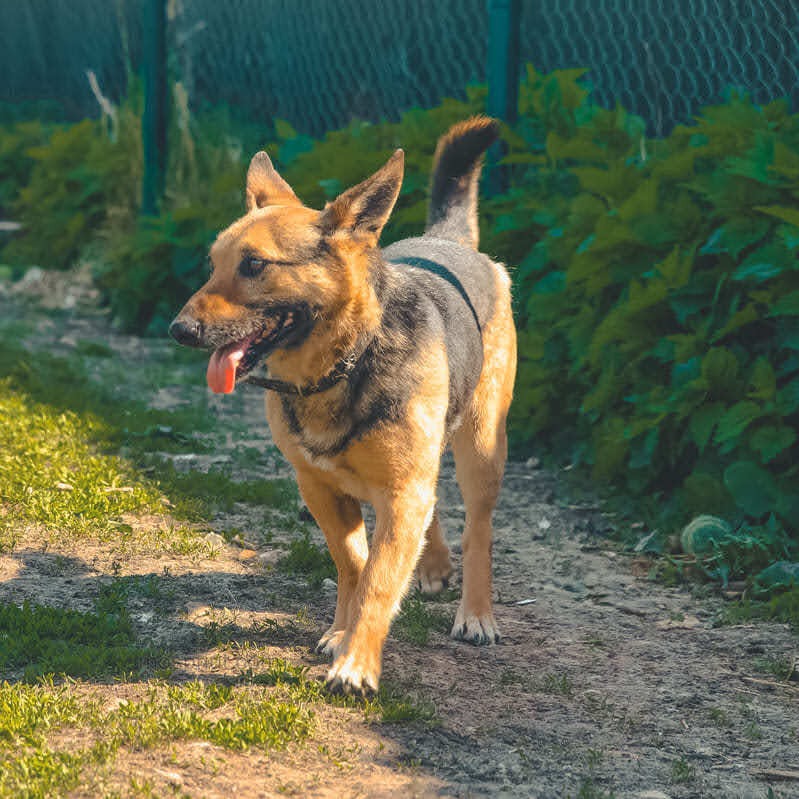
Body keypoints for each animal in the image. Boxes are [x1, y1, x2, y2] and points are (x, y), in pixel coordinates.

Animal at [170, 117, 520, 692]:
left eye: (254, 264)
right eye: (213, 264)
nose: (179, 330)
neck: (342, 364)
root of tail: (446, 241)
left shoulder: (401, 493)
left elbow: (379, 578)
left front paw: (356, 663)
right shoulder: (321, 488)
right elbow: (355, 564)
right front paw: (342, 632)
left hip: (481, 449)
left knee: (479, 530)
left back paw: (476, 613)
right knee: (433, 509)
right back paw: (431, 564)